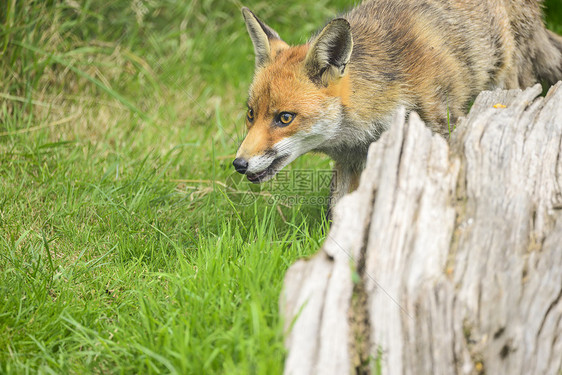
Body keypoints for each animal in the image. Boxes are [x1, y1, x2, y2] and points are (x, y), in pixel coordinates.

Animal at [232, 0, 560, 213]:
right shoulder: (350, 161)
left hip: (507, 85)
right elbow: (339, 215)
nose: (238, 164)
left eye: (285, 118)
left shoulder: (442, 131)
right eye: (250, 114)